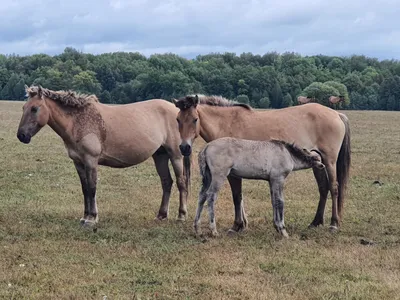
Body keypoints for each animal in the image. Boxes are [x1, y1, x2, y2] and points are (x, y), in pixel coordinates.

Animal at [16, 85, 191, 227]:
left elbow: (92, 188)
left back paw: (181, 216)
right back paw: (161, 215)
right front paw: (85, 217)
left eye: (34, 108)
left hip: (175, 155)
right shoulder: (79, 163)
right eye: (23, 107)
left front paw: (92, 219)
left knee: (181, 182)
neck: (78, 121)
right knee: (166, 182)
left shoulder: (91, 161)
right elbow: (85, 189)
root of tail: (175, 110)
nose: (21, 136)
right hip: (160, 155)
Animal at [195, 137, 326, 238]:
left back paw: (197, 229)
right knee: (211, 196)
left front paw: (277, 227)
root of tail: (206, 147)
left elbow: (274, 201)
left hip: (208, 177)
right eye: (318, 159)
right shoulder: (278, 178)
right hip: (219, 176)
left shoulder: (271, 181)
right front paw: (283, 230)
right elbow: (280, 202)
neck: (287, 154)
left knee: (202, 196)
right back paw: (213, 231)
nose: (323, 166)